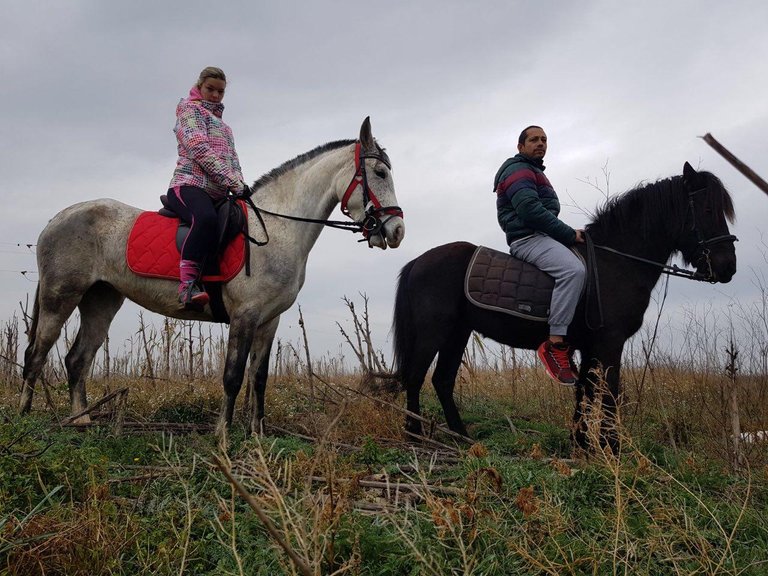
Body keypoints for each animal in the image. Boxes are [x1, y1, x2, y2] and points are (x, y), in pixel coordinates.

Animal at [21, 118, 404, 436]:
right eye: (380, 173)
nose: (397, 231)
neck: (277, 228)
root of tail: (57, 218)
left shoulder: (269, 321)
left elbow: (259, 378)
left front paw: (258, 435)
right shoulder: (245, 316)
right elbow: (233, 376)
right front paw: (222, 434)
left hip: (101, 300)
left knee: (77, 359)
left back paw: (80, 421)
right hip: (59, 298)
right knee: (36, 356)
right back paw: (24, 420)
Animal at [396, 162, 736, 450]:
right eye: (707, 209)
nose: (727, 268)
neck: (614, 261)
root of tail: (418, 261)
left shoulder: (589, 346)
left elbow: (586, 390)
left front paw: (581, 443)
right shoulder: (610, 343)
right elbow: (609, 391)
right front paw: (612, 447)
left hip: (458, 333)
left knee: (442, 380)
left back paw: (461, 436)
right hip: (434, 332)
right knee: (416, 377)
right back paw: (414, 434)